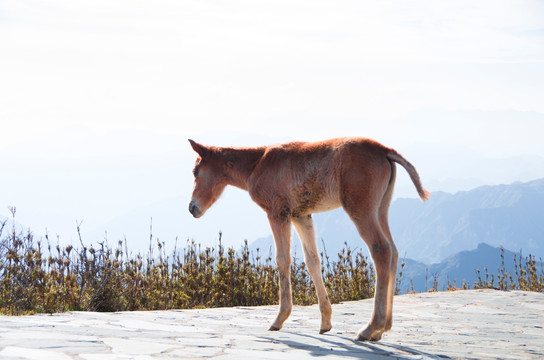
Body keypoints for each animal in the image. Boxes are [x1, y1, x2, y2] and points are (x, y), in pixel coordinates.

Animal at [188, 136, 430, 340]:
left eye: (196, 171)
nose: (192, 208)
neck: (256, 164)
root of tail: (385, 150)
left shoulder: (278, 213)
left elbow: (283, 260)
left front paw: (279, 319)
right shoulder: (301, 216)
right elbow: (312, 260)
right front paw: (325, 322)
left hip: (361, 208)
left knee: (381, 250)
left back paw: (371, 328)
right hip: (381, 208)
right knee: (394, 251)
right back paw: (383, 329)